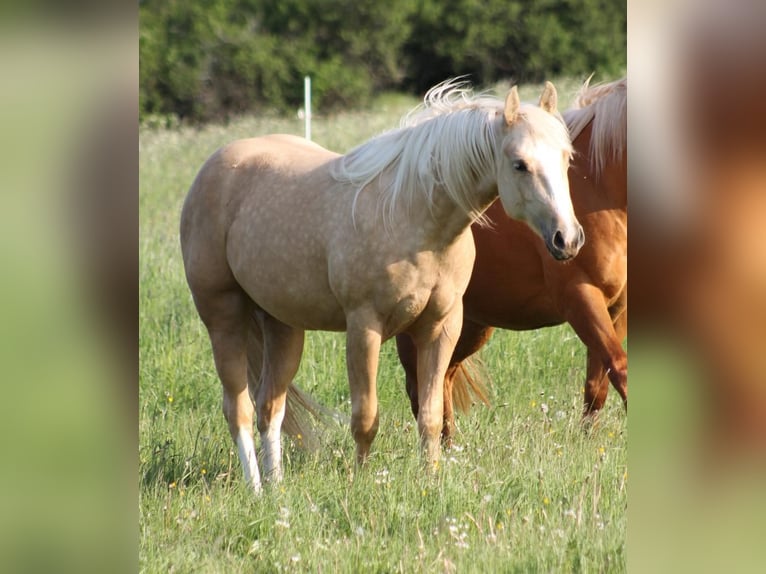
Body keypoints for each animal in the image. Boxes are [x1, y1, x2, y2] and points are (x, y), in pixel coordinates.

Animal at [182, 81, 584, 496]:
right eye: (519, 164)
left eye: (567, 157)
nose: (567, 239)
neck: (413, 216)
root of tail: (215, 167)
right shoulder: (364, 328)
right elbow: (366, 417)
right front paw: (361, 482)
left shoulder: (441, 327)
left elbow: (431, 416)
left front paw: (430, 481)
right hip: (224, 317)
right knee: (239, 410)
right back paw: (257, 490)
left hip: (283, 326)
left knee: (270, 408)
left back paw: (277, 489)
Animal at [400, 77, 628, 446]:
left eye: (566, 158)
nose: (568, 240)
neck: (599, 187)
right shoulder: (580, 298)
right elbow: (620, 370)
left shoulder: (617, 307)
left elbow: (598, 385)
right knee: (422, 389)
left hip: (472, 325)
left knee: (444, 378)